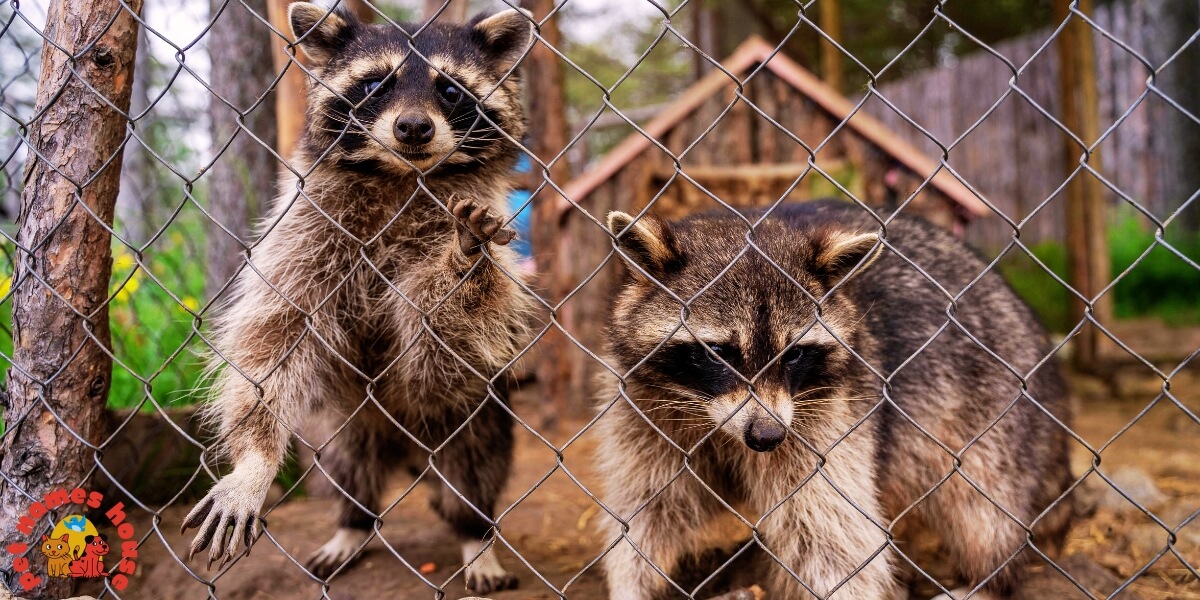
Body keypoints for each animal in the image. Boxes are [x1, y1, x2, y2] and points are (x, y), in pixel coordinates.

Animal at [180, 4, 534, 593]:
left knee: (472, 469)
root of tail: (406, 450)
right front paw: (253, 463)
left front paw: (464, 259)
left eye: (450, 89)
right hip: (341, 426)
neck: (402, 178)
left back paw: (476, 535)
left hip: (475, 417)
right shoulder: (303, 232)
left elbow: (441, 345)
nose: (413, 126)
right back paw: (353, 521)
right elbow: (272, 335)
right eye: (374, 84)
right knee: (345, 469)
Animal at [595, 200, 1074, 599]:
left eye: (794, 353)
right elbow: (648, 511)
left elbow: (834, 540)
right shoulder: (645, 412)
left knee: (981, 507)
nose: (767, 436)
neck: (715, 422)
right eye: (719, 352)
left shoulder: (831, 416)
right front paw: (630, 584)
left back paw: (990, 579)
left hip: (994, 405)